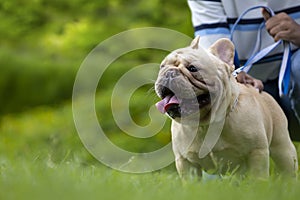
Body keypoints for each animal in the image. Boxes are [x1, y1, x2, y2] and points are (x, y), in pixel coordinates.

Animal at [155, 36, 298, 178]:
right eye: (162, 67)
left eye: (192, 68)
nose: (169, 73)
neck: (205, 124)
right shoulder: (186, 162)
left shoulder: (257, 153)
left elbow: (258, 177)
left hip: (282, 148)